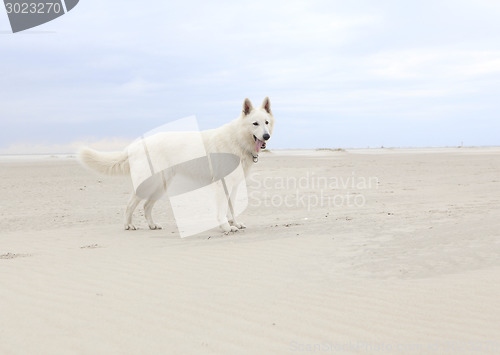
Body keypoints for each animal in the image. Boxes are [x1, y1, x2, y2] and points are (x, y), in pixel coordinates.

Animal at [79, 97, 274, 234]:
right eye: (255, 124)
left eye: (266, 122)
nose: (266, 136)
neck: (238, 139)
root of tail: (135, 145)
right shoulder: (222, 184)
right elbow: (221, 211)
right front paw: (226, 228)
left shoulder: (233, 185)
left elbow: (231, 208)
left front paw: (235, 223)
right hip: (149, 184)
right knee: (130, 204)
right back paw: (128, 225)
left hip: (160, 186)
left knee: (146, 206)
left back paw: (152, 225)